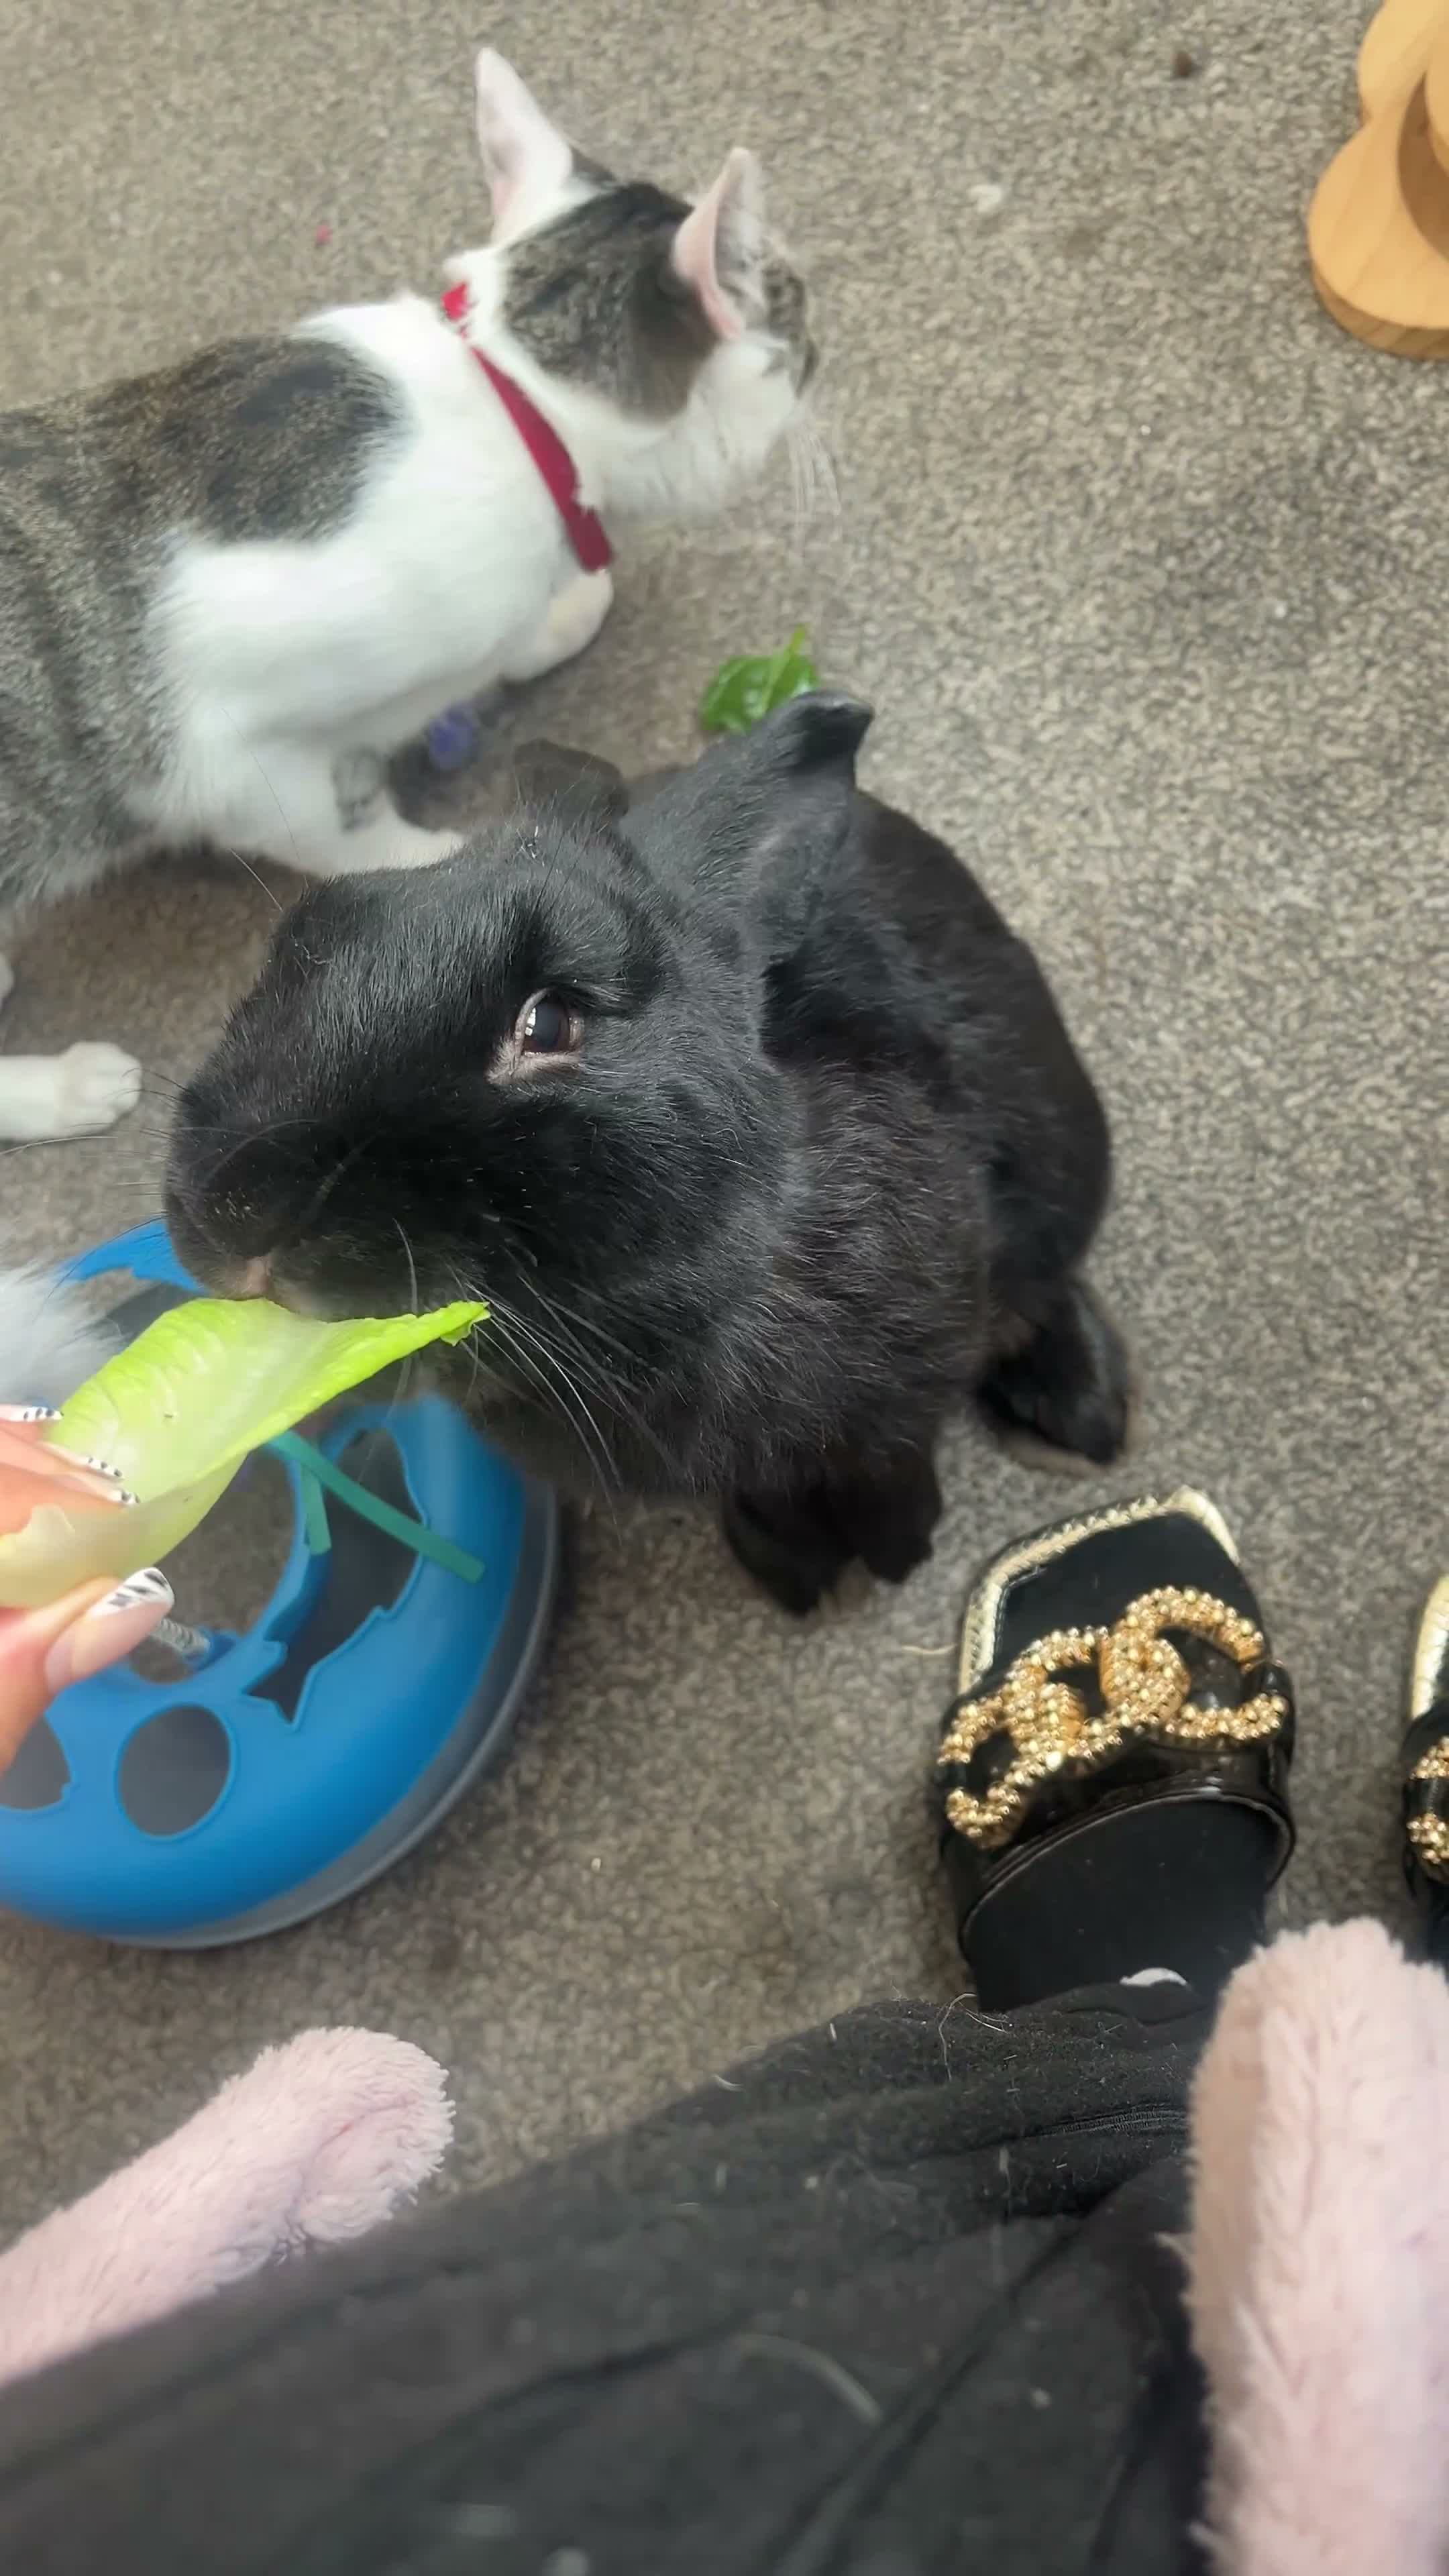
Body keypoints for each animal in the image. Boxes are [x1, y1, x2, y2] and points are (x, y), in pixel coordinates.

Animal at [0, 47, 816, 1142]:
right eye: (794, 307)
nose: (819, 350)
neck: (510, 397)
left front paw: (557, 615)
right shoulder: (222, 758)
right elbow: (338, 832)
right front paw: (443, 859)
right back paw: (61, 1089)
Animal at [164, 695, 1130, 1614]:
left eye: (551, 1022)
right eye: (296, 944)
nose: (236, 1211)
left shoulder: (908, 1382)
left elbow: (894, 1459)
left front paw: (899, 1552)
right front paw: (794, 1567)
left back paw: (1083, 1417)